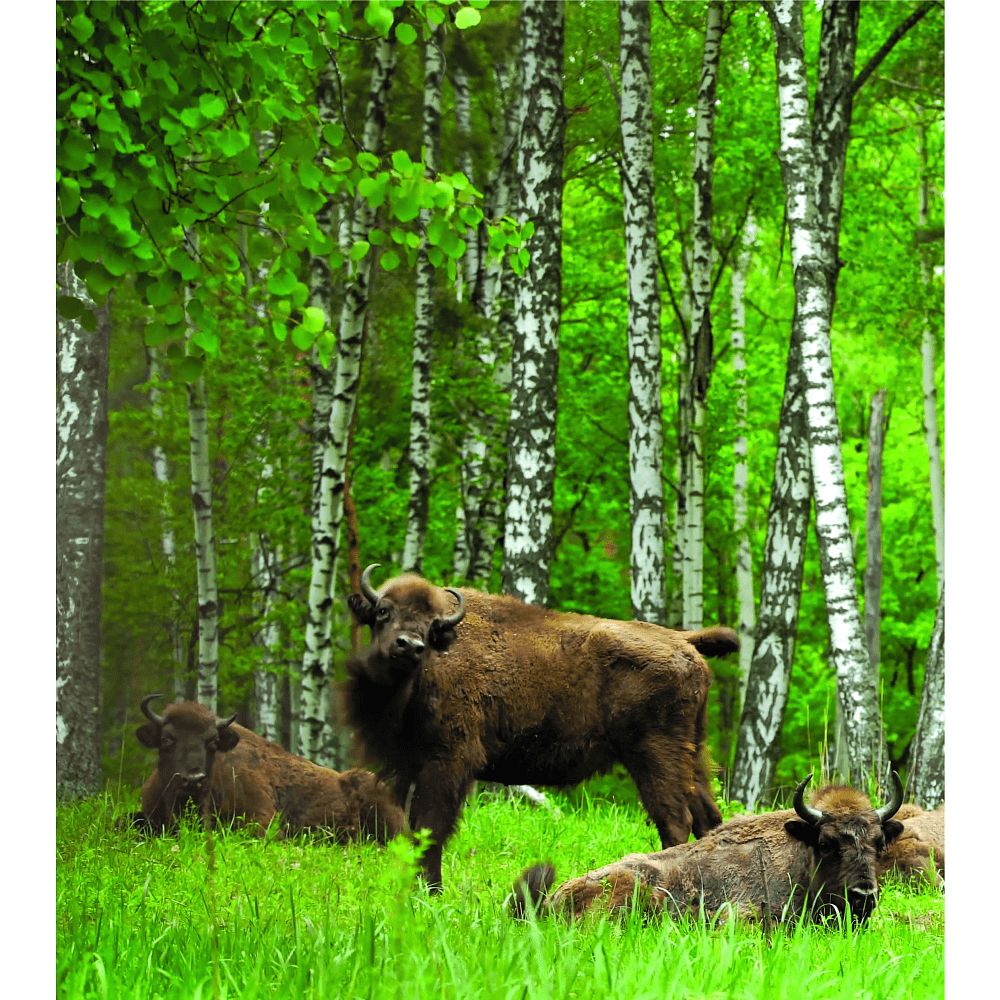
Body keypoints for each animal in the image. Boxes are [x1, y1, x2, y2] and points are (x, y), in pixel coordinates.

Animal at [348, 564, 740, 892]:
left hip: (655, 755)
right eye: (383, 611)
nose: (408, 646)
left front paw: (429, 892)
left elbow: (430, 829)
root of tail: (683, 640)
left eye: (432, 627)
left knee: (675, 819)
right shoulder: (410, 765)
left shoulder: (446, 763)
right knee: (707, 816)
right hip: (693, 752)